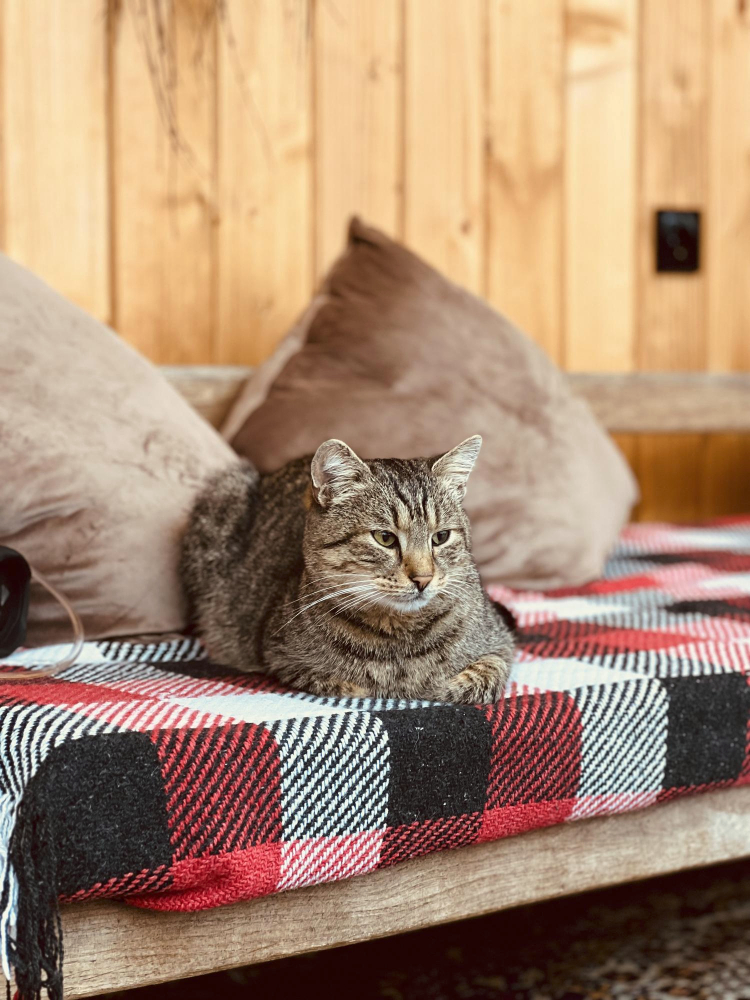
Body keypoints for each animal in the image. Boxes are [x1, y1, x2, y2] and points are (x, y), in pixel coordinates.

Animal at [184, 438, 516, 704]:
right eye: (384, 538)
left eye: (441, 537)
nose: (422, 579)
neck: (399, 636)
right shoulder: (281, 656)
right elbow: (344, 684)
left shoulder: (501, 642)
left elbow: (484, 674)